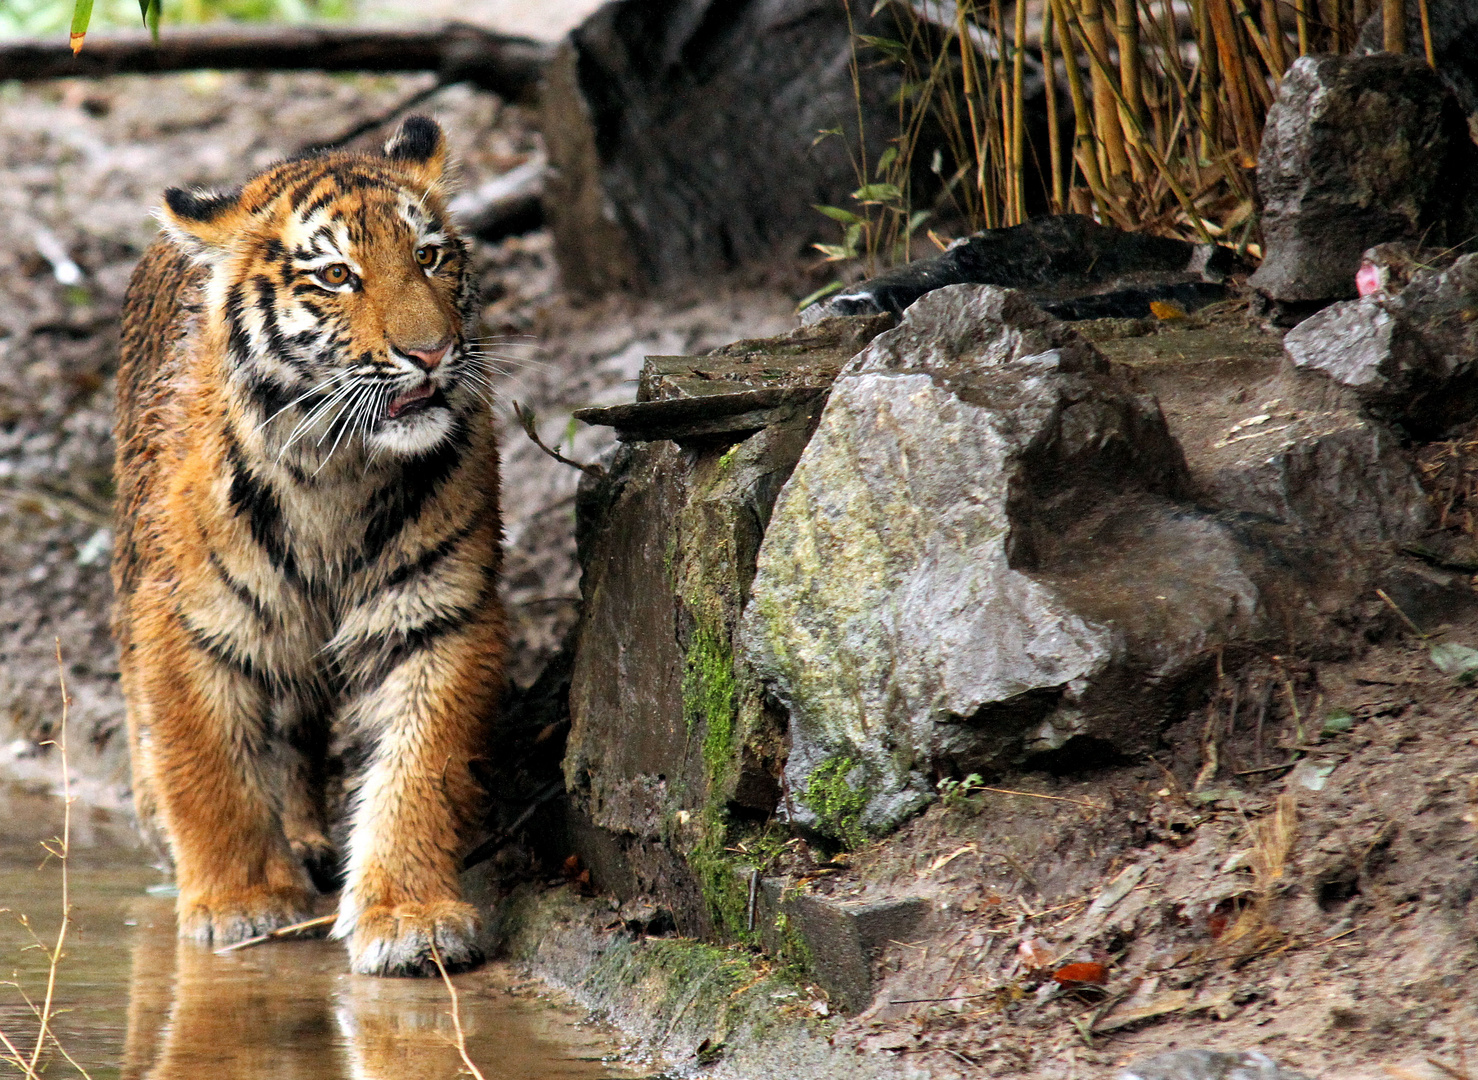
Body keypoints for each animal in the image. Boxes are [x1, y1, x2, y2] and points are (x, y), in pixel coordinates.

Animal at [107, 118, 505, 981]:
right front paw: (244, 902)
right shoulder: (185, 618)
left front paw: (409, 916)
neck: (339, 467)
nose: (432, 352)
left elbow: (422, 766)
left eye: (429, 256)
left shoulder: (440, 611)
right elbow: (207, 766)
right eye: (336, 276)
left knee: (290, 728)